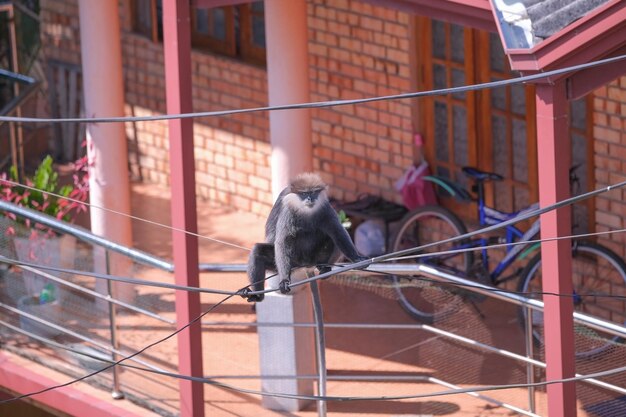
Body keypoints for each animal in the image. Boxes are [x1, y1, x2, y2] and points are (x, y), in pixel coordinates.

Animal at [240, 171, 366, 300]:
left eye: (313, 192)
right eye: (304, 193)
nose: (310, 198)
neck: (306, 211)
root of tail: (306, 264)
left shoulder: (325, 209)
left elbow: (338, 233)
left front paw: (357, 258)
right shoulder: (288, 212)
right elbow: (281, 242)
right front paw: (284, 280)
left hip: (316, 257)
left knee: (333, 238)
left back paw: (325, 269)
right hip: (292, 262)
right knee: (258, 251)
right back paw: (258, 296)